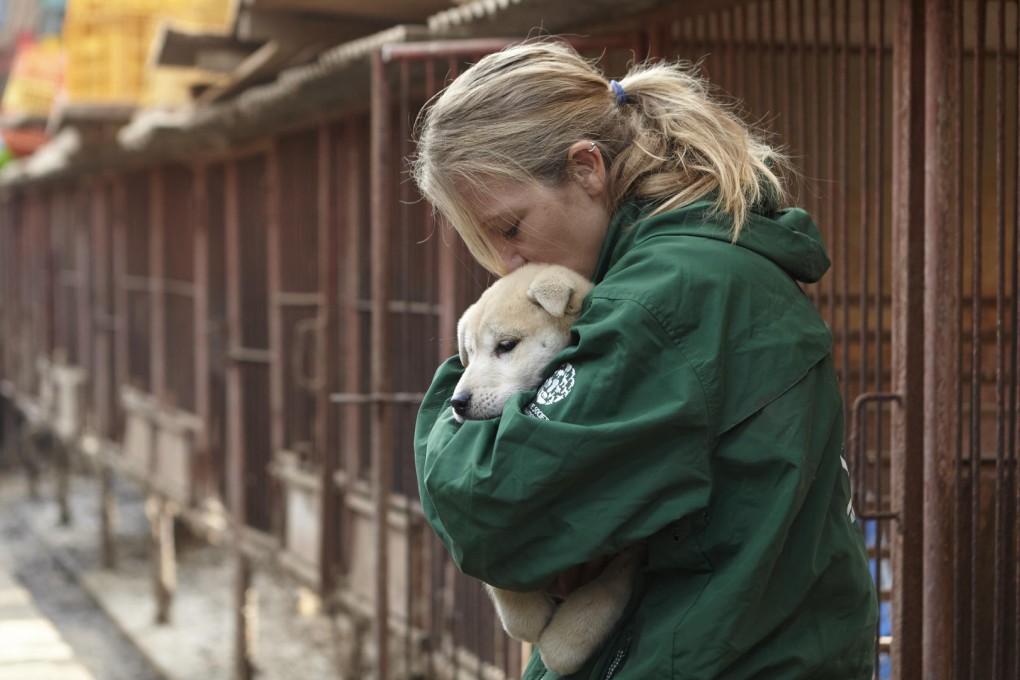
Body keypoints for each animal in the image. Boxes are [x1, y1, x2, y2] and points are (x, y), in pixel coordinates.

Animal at [452, 265, 636, 676]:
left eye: (506, 345)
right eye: (469, 354)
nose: (457, 401)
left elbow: (611, 583)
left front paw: (565, 643)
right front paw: (525, 617)